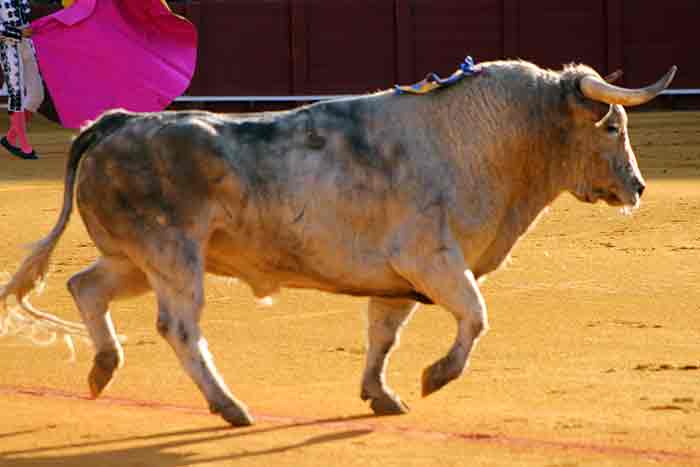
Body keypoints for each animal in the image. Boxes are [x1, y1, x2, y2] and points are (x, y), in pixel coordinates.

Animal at [1, 59, 680, 428]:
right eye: (613, 127)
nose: (639, 185)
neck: (485, 138)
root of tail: (114, 123)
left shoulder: (399, 280)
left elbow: (383, 335)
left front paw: (382, 394)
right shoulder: (432, 260)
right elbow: (476, 317)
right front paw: (436, 376)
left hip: (133, 260)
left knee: (84, 285)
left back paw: (103, 368)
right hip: (173, 258)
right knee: (180, 328)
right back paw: (229, 405)